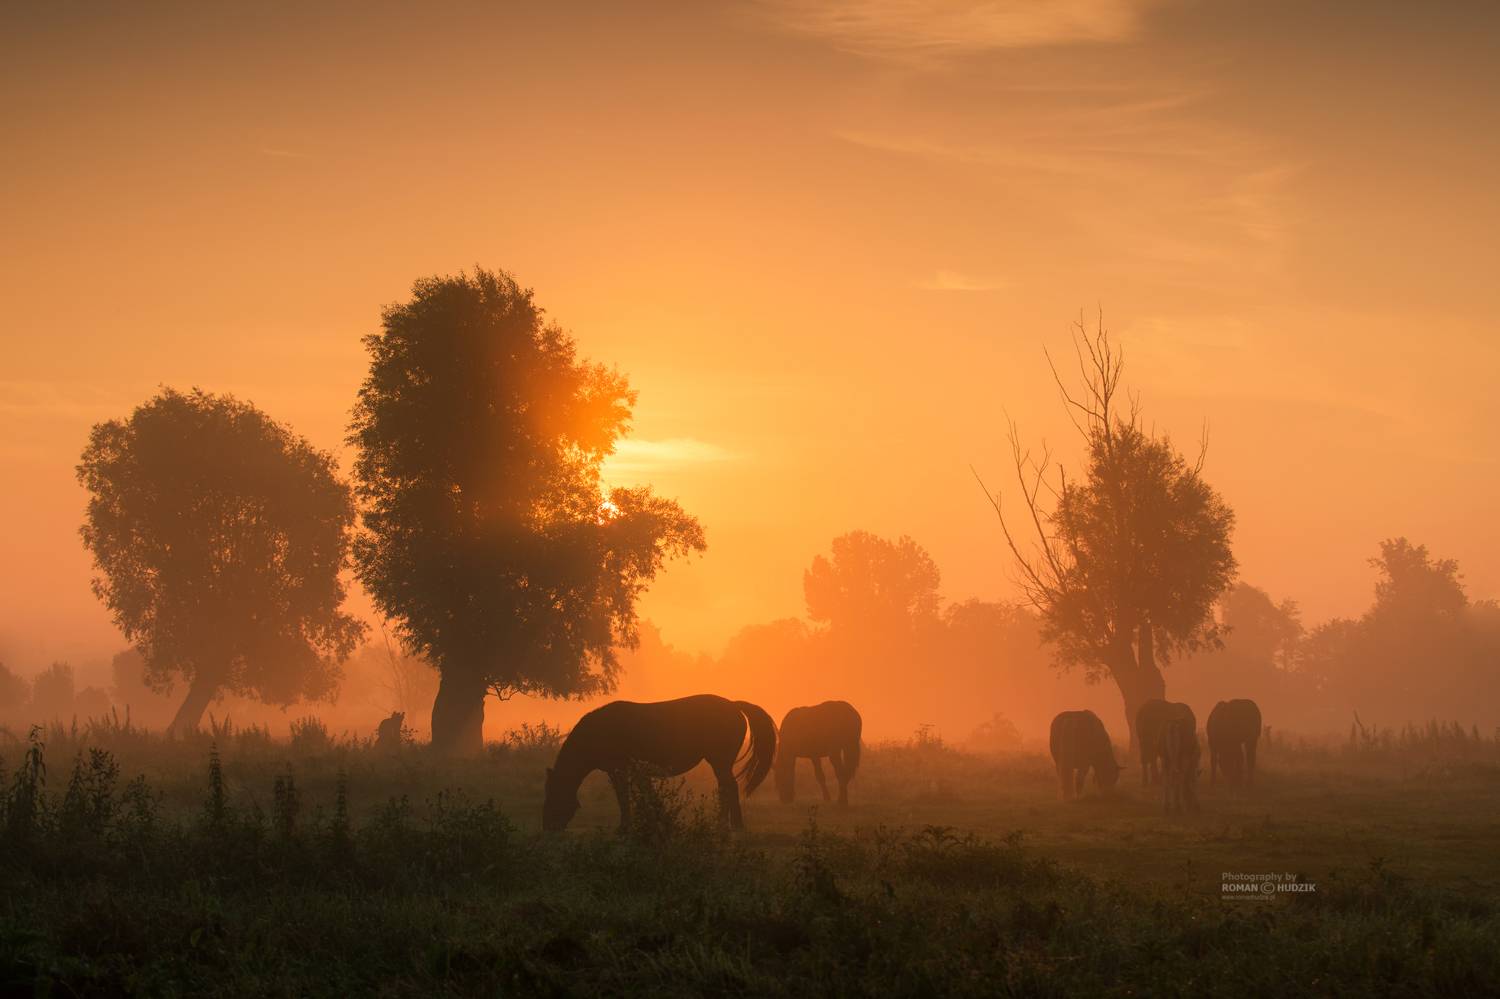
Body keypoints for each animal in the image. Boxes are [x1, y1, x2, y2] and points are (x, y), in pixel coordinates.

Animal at [542, 694, 777, 833]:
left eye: (553, 794)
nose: (548, 827)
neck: (598, 732)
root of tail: (734, 706)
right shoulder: (629, 770)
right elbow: (646, 794)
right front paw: (658, 820)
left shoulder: (619, 768)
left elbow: (623, 796)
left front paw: (624, 828)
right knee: (727, 787)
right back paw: (730, 825)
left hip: (719, 761)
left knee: (729, 787)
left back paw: (727, 826)